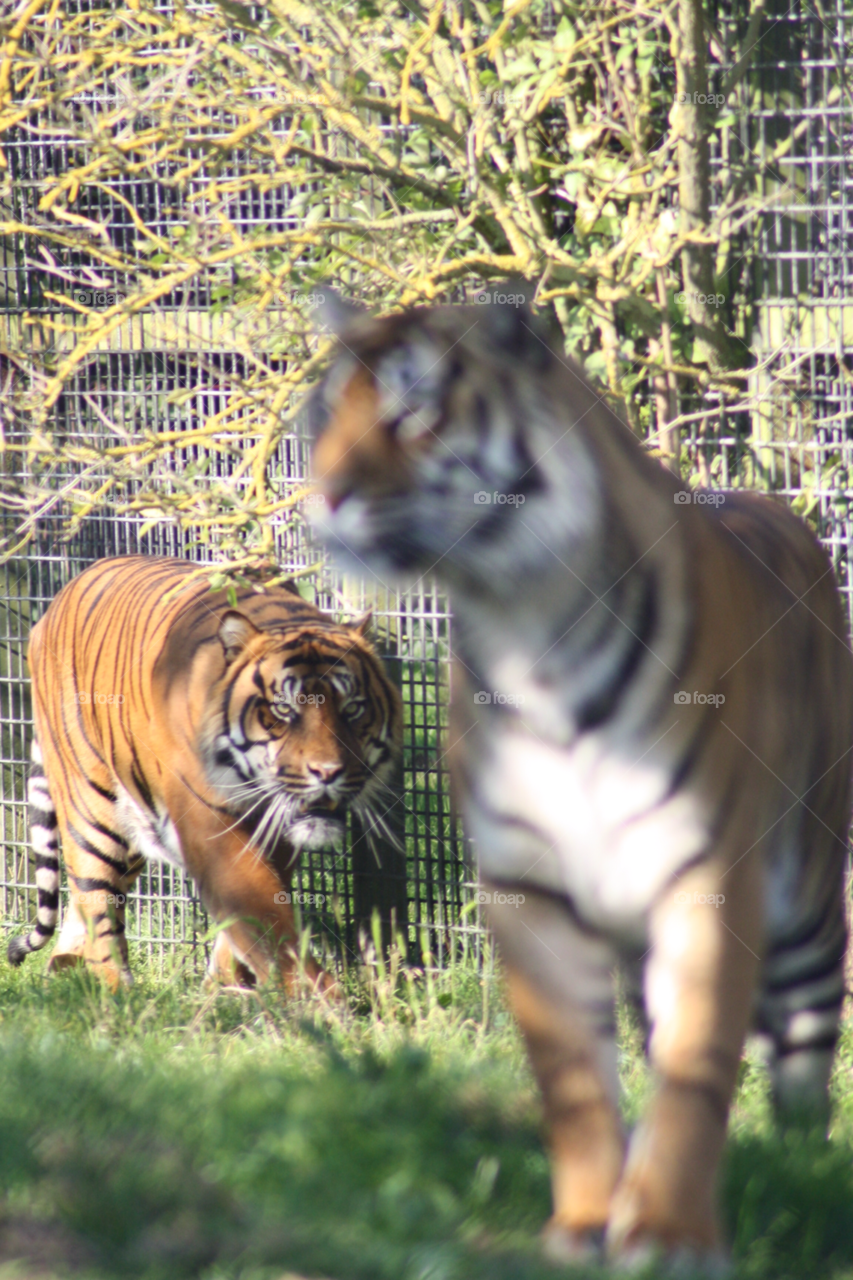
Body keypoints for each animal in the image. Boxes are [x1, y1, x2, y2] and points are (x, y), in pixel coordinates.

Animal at [7, 555, 401, 994]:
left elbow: (253, 916)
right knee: (96, 896)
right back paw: (116, 990)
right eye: (284, 709)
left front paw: (225, 988)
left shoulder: (277, 838)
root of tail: (57, 600)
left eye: (353, 709)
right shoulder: (207, 823)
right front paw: (316, 998)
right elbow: (265, 921)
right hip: (93, 807)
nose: (328, 772)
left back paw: (67, 966)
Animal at [307, 292, 853, 1269]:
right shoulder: (527, 889)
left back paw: (801, 1173)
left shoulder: (707, 879)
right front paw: (590, 1220)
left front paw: (670, 1235)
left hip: (807, 902)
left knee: (801, 1063)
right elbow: (573, 1076)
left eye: (412, 411)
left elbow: (695, 1064)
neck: (529, 633)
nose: (324, 496)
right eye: (322, 416)